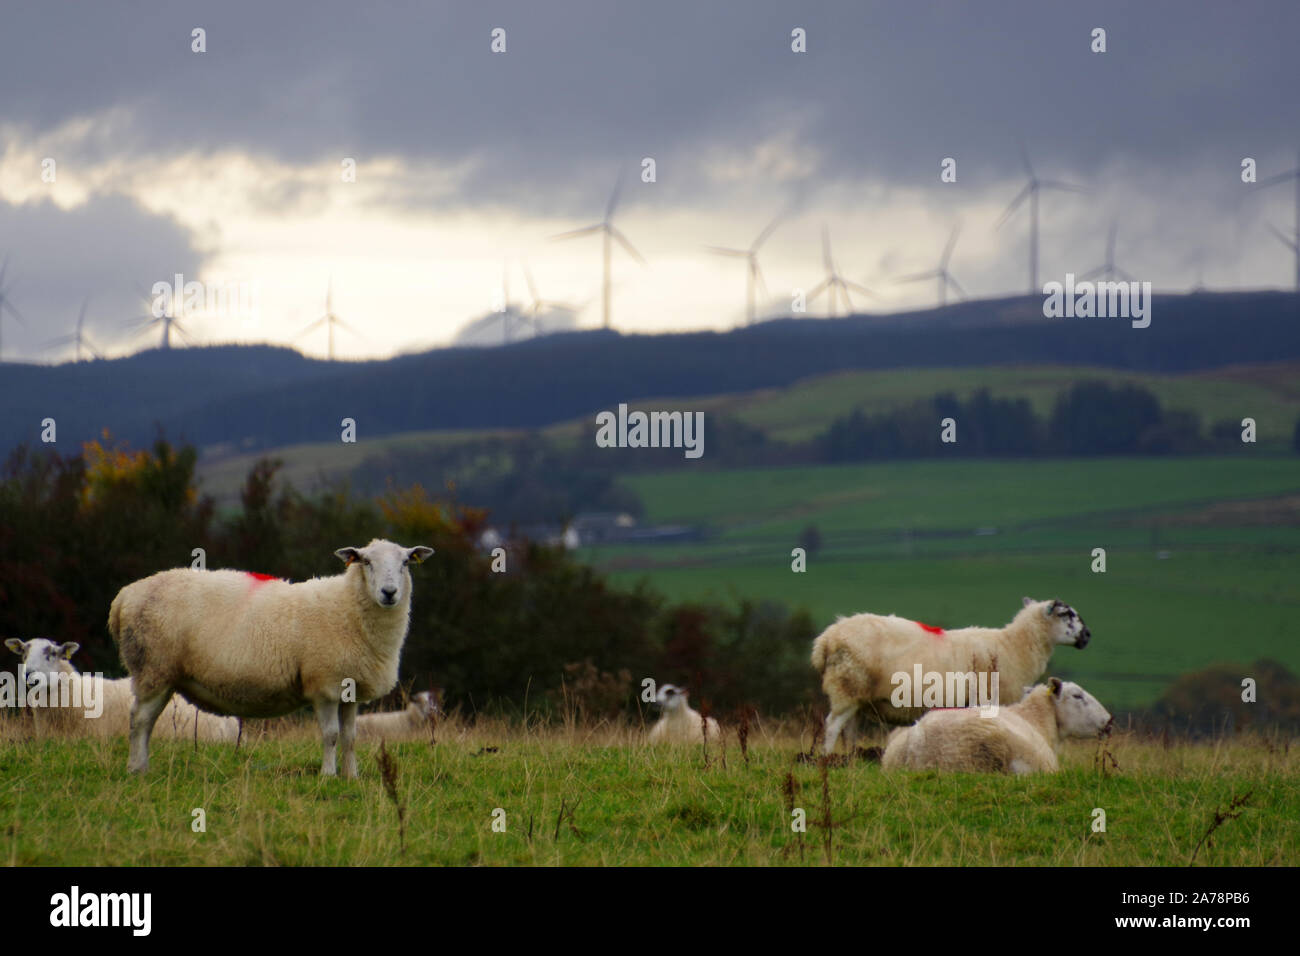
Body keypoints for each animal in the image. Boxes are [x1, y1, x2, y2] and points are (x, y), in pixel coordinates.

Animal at [108, 538, 434, 777]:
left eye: (405, 562)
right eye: (366, 561)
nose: (389, 592)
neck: (348, 607)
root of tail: (124, 597)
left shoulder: (350, 689)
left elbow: (351, 737)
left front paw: (351, 776)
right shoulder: (324, 684)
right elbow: (330, 735)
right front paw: (328, 776)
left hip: (163, 674)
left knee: (148, 721)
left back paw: (143, 767)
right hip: (152, 666)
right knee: (139, 720)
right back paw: (136, 768)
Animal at [811, 596, 1091, 754]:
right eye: (1066, 614)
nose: (1088, 635)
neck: (1012, 646)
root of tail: (826, 640)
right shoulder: (987, 700)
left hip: (854, 693)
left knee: (848, 730)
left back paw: (849, 760)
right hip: (847, 685)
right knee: (832, 726)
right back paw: (827, 758)